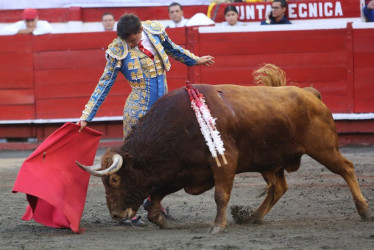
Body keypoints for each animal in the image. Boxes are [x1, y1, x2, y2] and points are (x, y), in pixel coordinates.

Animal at [76, 81, 372, 232]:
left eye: (114, 181)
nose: (115, 215)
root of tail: (310, 94)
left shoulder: (224, 164)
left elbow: (221, 195)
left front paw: (218, 226)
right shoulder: (180, 171)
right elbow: (157, 194)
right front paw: (160, 219)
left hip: (323, 148)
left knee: (347, 168)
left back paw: (364, 211)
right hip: (270, 161)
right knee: (279, 187)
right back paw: (252, 217)